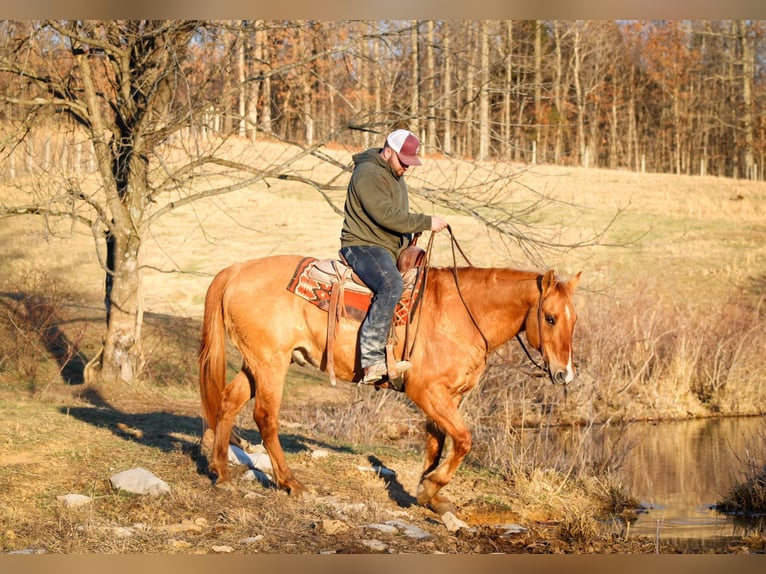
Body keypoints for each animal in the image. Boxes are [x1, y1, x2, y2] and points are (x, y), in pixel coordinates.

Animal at [198, 254, 584, 524]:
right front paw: (431, 486)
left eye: (574, 319)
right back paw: (291, 483)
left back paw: (221, 472)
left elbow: (437, 441)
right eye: (549, 317)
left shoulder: (449, 395)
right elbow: (462, 440)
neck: (461, 313)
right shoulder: (426, 391)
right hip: (271, 363)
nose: (564, 374)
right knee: (266, 417)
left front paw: (429, 494)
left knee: (228, 402)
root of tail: (236, 271)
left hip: (257, 364)